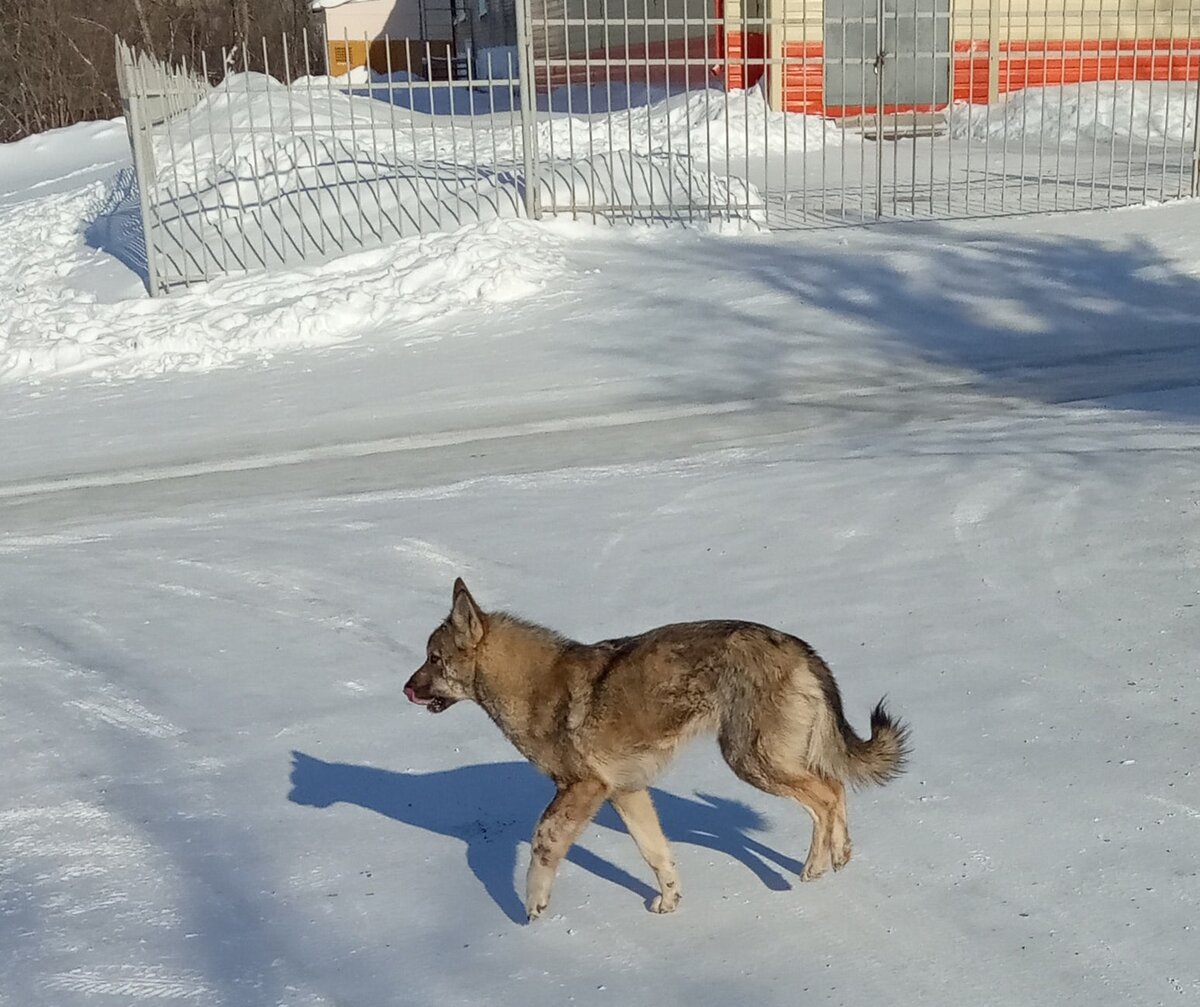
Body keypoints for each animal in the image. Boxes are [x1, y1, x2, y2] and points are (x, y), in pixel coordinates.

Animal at [403, 583, 907, 921]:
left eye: (434, 659)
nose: (405, 689)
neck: (530, 688)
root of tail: (799, 647)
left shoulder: (582, 787)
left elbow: (543, 843)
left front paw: (533, 907)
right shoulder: (625, 792)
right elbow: (657, 854)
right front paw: (670, 900)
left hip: (751, 761)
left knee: (826, 795)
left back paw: (817, 864)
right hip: (768, 760)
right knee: (835, 786)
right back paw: (838, 855)